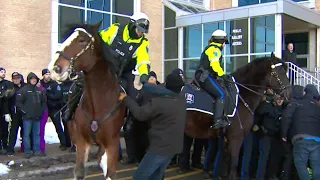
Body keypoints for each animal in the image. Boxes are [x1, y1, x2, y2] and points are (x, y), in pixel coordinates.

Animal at [47, 21, 125, 179]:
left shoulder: (112, 143)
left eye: (82, 40)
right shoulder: (82, 143)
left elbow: (110, 173)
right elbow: (79, 172)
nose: (55, 68)